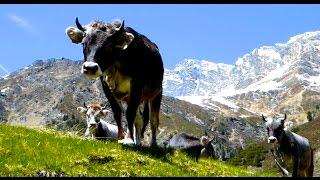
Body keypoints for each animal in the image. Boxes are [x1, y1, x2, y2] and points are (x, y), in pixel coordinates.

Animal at [66, 17, 164, 146]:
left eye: (109, 45)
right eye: (83, 43)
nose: (90, 68)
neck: (117, 63)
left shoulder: (137, 86)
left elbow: (130, 113)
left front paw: (128, 139)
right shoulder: (106, 87)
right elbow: (117, 111)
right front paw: (121, 137)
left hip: (156, 93)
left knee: (153, 120)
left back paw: (153, 144)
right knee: (139, 119)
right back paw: (138, 142)